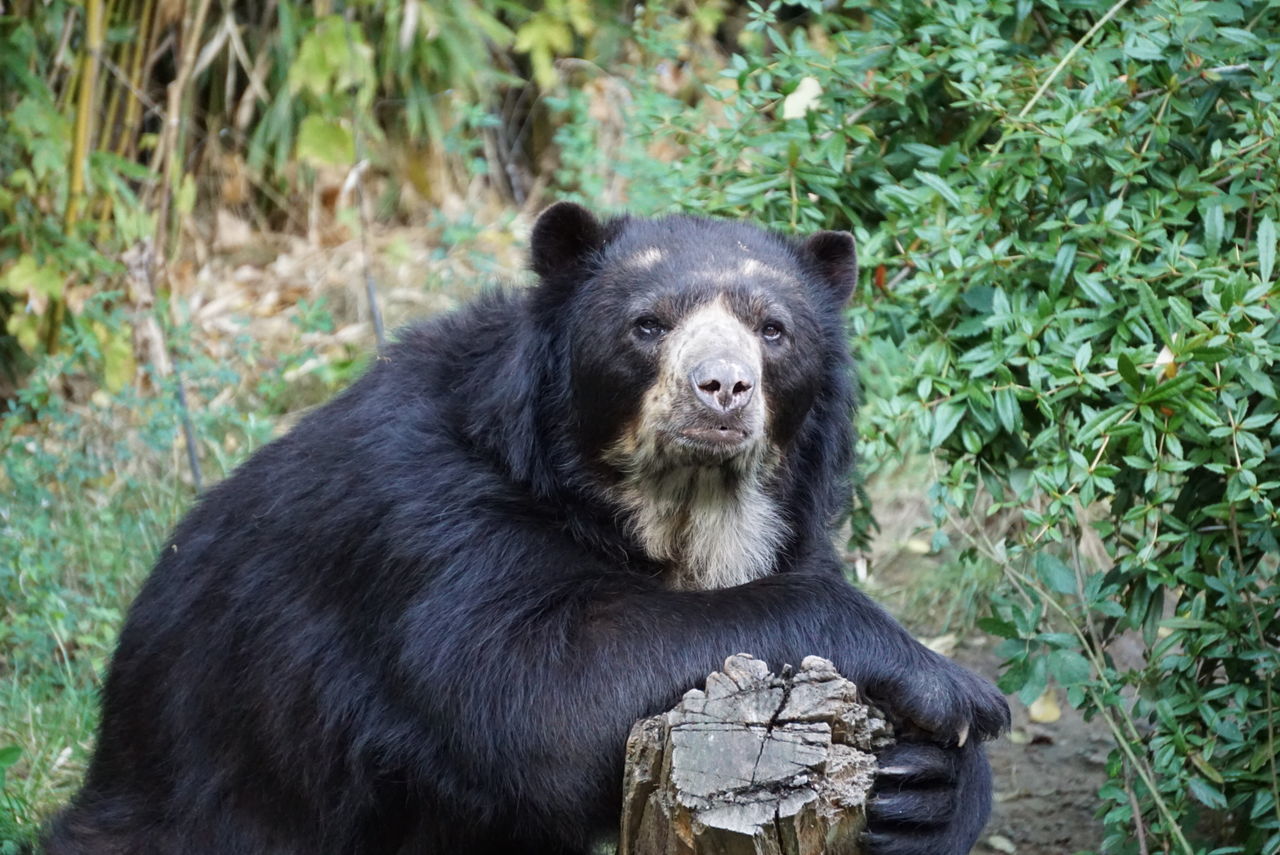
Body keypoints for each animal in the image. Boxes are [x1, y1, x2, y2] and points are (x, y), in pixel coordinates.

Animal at [47, 203, 1008, 849]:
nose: (722, 389)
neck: (677, 513)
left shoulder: (794, 527)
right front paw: (956, 688)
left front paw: (926, 787)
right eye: (647, 325)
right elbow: (533, 696)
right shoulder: (430, 521)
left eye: (773, 330)